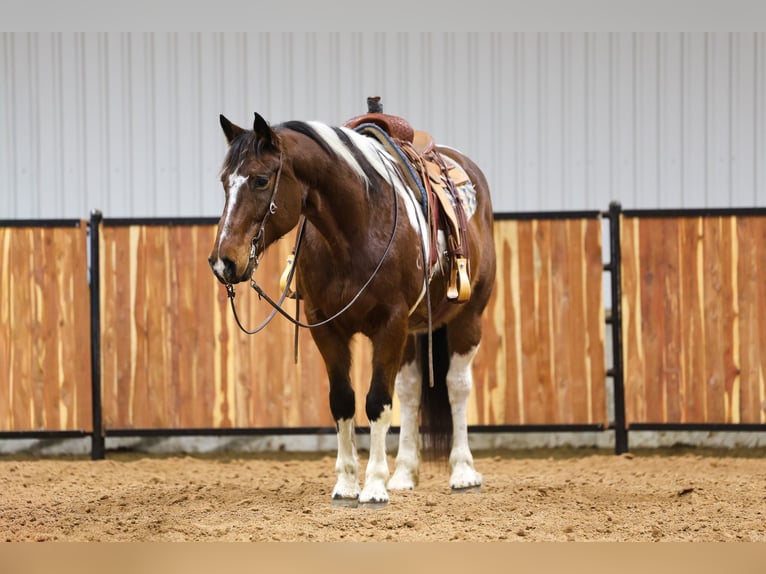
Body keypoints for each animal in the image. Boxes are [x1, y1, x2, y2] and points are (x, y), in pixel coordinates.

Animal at [208, 108, 496, 506]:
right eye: (225, 182)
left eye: (261, 179)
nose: (223, 262)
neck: (356, 229)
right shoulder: (327, 327)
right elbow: (343, 400)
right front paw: (346, 484)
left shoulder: (390, 324)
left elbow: (377, 402)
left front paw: (373, 485)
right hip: (413, 332)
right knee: (410, 391)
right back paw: (404, 473)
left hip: (468, 318)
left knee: (457, 385)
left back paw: (463, 472)